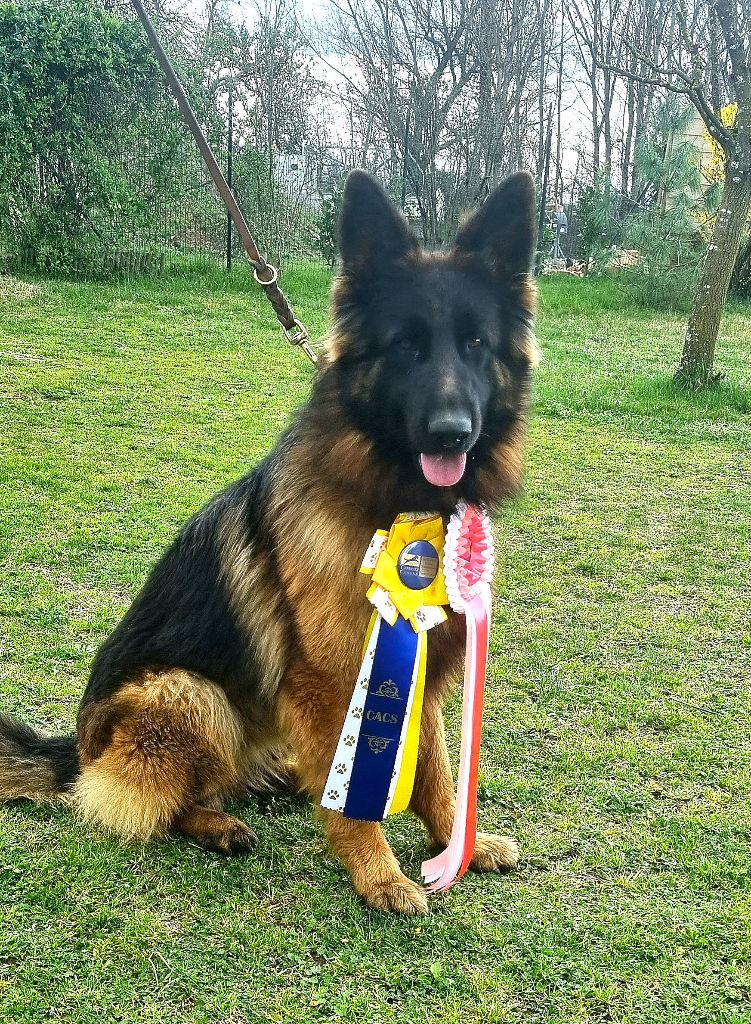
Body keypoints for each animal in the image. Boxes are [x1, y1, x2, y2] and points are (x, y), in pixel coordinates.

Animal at [1, 172, 540, 917]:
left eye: (475, 344)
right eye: (405, 346)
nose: (450, 433)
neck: (393, 504)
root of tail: (77, 751)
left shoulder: (421, 671)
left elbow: (434, 769)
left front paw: (456, 846)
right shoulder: (335, 680)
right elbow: (359, 801)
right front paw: (379, 874)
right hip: (189, 693)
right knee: (146, 801)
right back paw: (216, 822)